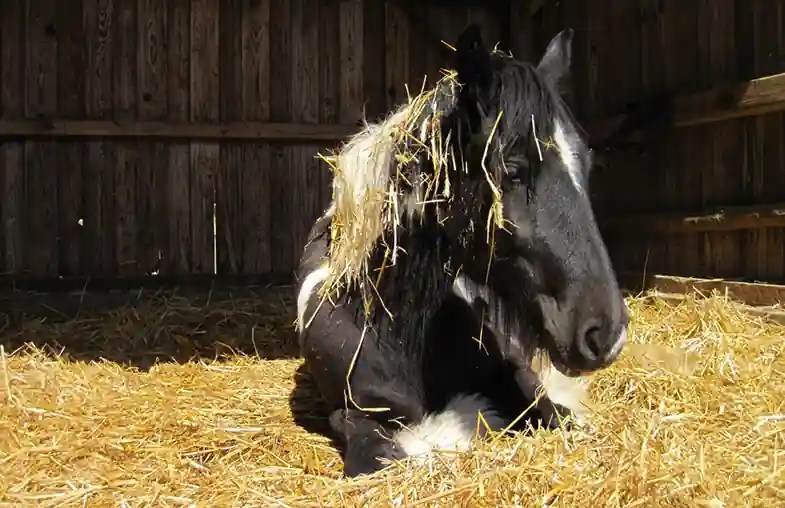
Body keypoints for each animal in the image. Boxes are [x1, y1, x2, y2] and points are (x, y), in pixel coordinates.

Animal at [294, 24, 629, 477]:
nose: (606, 333)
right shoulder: (353, 415)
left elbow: (554, 415)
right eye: (513, 170)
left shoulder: (518, 374)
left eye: (587, 166)